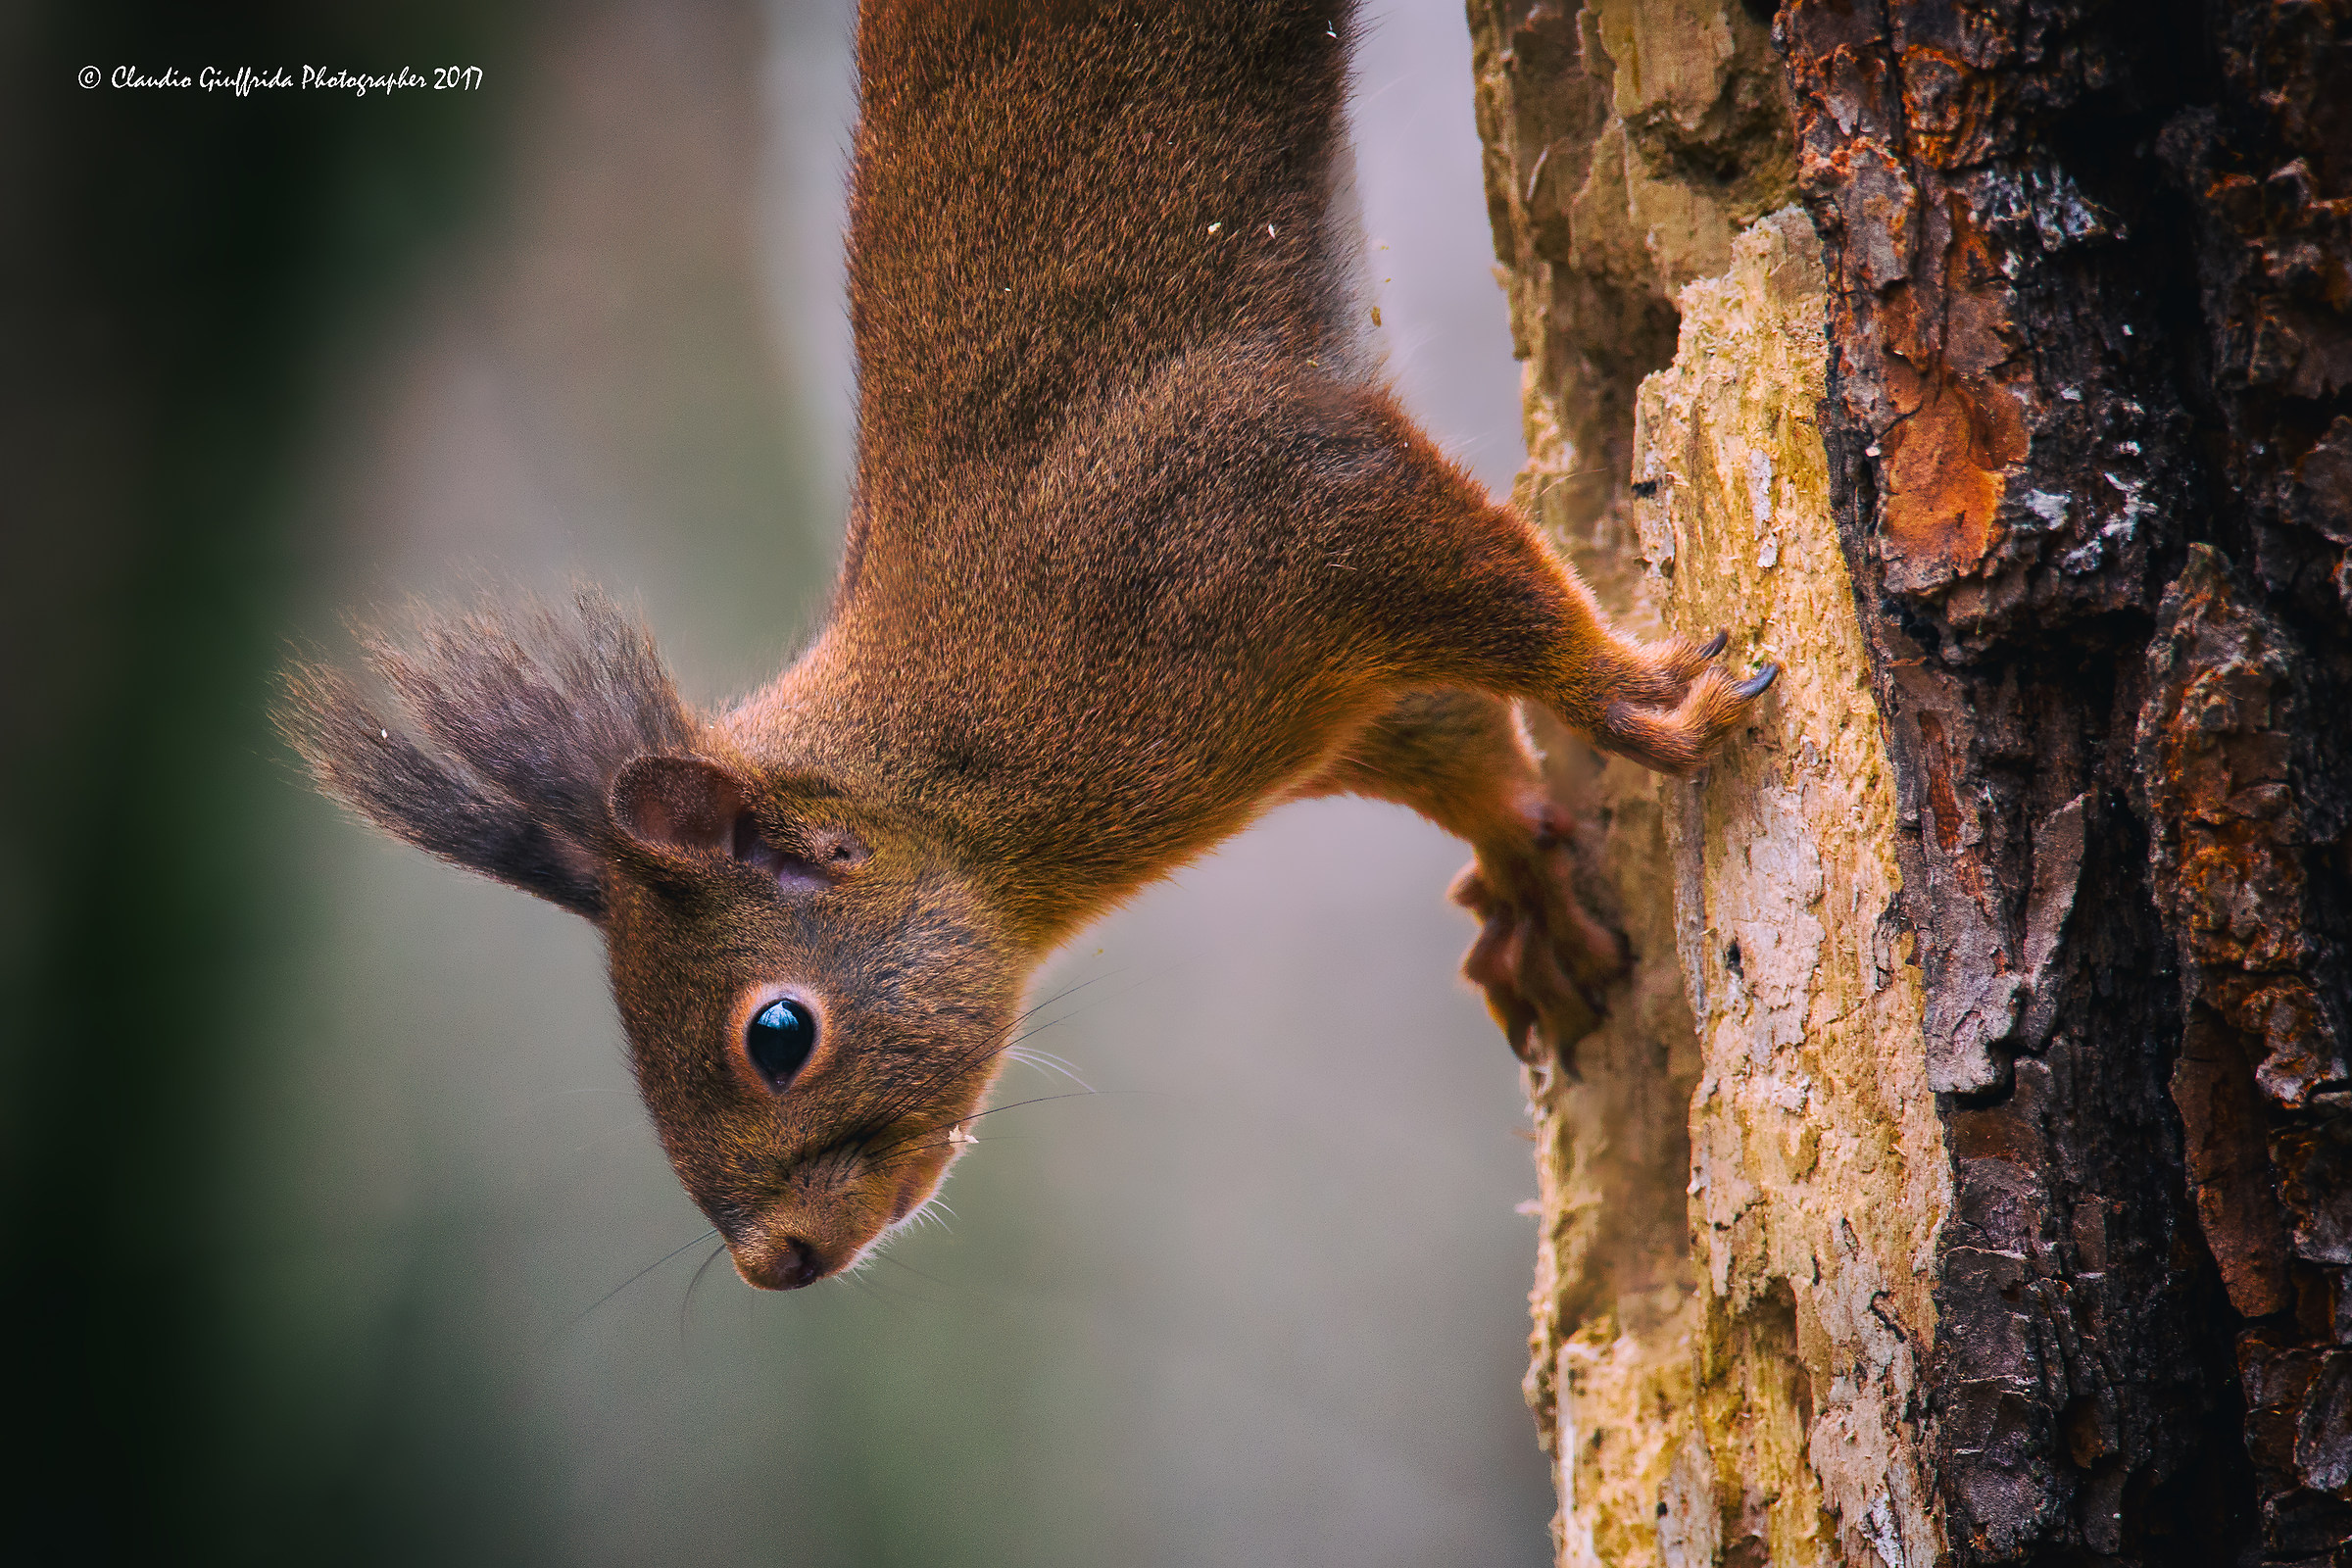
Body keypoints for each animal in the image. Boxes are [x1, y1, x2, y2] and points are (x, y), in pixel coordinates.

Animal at [281, 0, 1775, 1292]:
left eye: (778, 1035)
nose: (775, 1266)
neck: (975, 771)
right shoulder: (1332, 706)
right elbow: (1454, 740)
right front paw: (1528, 879)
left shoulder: (1263, 505)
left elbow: (1494, 595)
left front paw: (1638, 702)